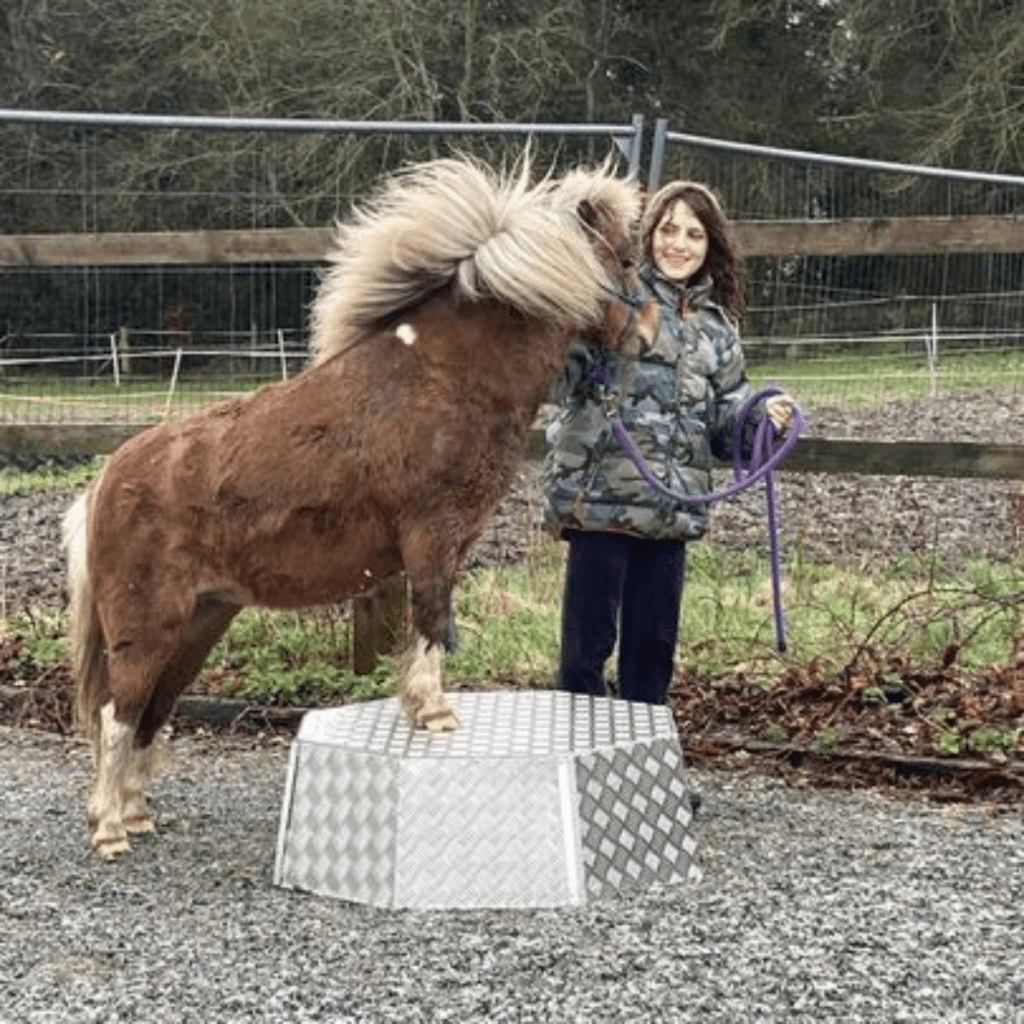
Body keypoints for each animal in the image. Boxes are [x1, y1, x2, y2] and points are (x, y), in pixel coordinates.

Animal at [64, 153, 655, 856]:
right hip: (146, 627)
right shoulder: (432, 537)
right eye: (625, 258)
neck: (447, 379)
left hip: (199, 624)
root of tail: (107, 479)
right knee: (116, 714)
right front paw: (433, 712)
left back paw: (134, 814)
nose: (650, 335)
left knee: (150, 711)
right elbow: (431, 620)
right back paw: (107, 829)